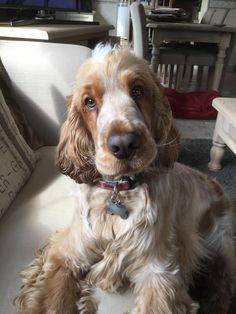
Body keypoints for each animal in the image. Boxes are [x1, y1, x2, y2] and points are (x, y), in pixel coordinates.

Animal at [15, 43, 236, 312]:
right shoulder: (67, 252)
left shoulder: (159, 272)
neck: (117, 191)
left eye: (138, 90)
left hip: (221, 244)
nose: (124, 144)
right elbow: (55, 301)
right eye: (89, 102)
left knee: (223, 286)